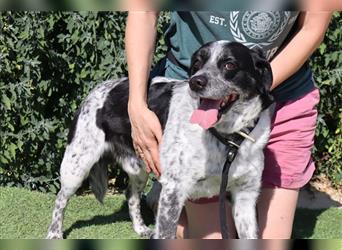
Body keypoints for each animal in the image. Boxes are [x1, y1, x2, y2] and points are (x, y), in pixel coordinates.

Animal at [46, 41, 274, 238]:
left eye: (229, 64)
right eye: (196, 64)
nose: (196, 82)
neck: (226, 138)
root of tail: (97, 89)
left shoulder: (245, 196)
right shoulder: (173, 191)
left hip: (140, 168)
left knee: (131, 195)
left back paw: (140, 229)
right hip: (77, 166)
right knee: (60, 199)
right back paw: (54, 233)